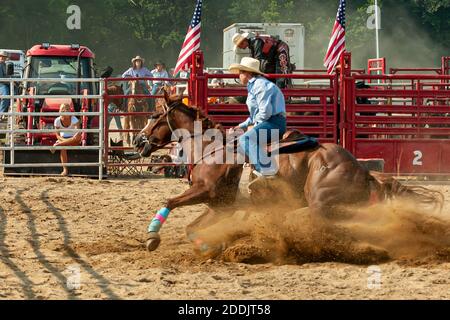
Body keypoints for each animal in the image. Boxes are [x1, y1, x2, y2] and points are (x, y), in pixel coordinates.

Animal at [134, 92, 442, 252]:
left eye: (154, 115)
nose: (137, 141)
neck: (210, 148)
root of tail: (362, 171)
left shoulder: (205, 191)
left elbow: (169, 201)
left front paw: (152, 237)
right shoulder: (221, 206)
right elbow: (190, 228)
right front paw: (209, 245)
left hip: (321, 200)